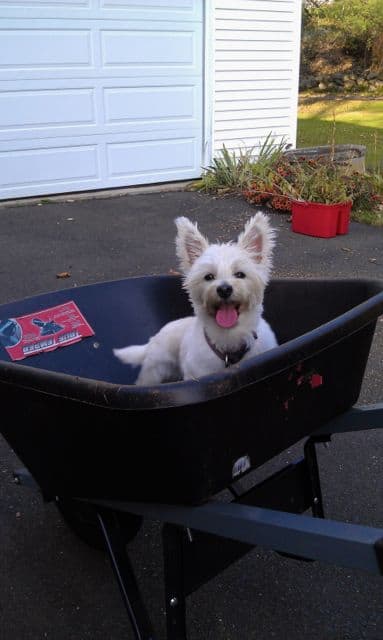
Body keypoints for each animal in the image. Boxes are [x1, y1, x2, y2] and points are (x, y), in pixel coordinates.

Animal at [114, 214, 280, 384]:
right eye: (209, 277)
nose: (224, 289)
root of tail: (153, 339)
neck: (229, 340)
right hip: (154, 371)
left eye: (240, 274)